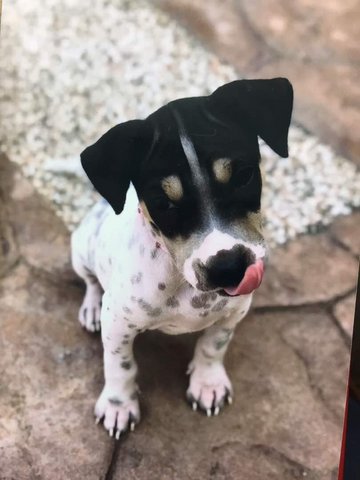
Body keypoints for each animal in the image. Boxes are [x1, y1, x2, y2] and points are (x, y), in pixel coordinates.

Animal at [71, 79, 294, 438]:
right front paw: (119, 404)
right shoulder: (118, 324)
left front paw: (208, 383)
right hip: (79, 249)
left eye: (244, 176)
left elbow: (213, 345)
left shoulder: (233, 312)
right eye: (164, 203)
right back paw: (91, 307)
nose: (229, 267)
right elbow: (120, 365)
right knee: (90, 281)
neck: (182, 283)